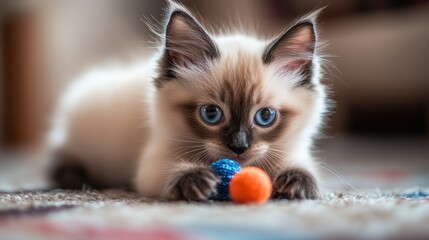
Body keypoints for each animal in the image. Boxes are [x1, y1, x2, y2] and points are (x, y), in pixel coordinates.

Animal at [46, 1, 328, 201]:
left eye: (265, 116)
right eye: (211, 114)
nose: (238, 147)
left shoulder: (292, 151)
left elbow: (303, 168)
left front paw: (294, 183)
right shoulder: (152, 164)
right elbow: (171, 170)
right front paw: (196, 181)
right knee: (58, 159)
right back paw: (76, 180)